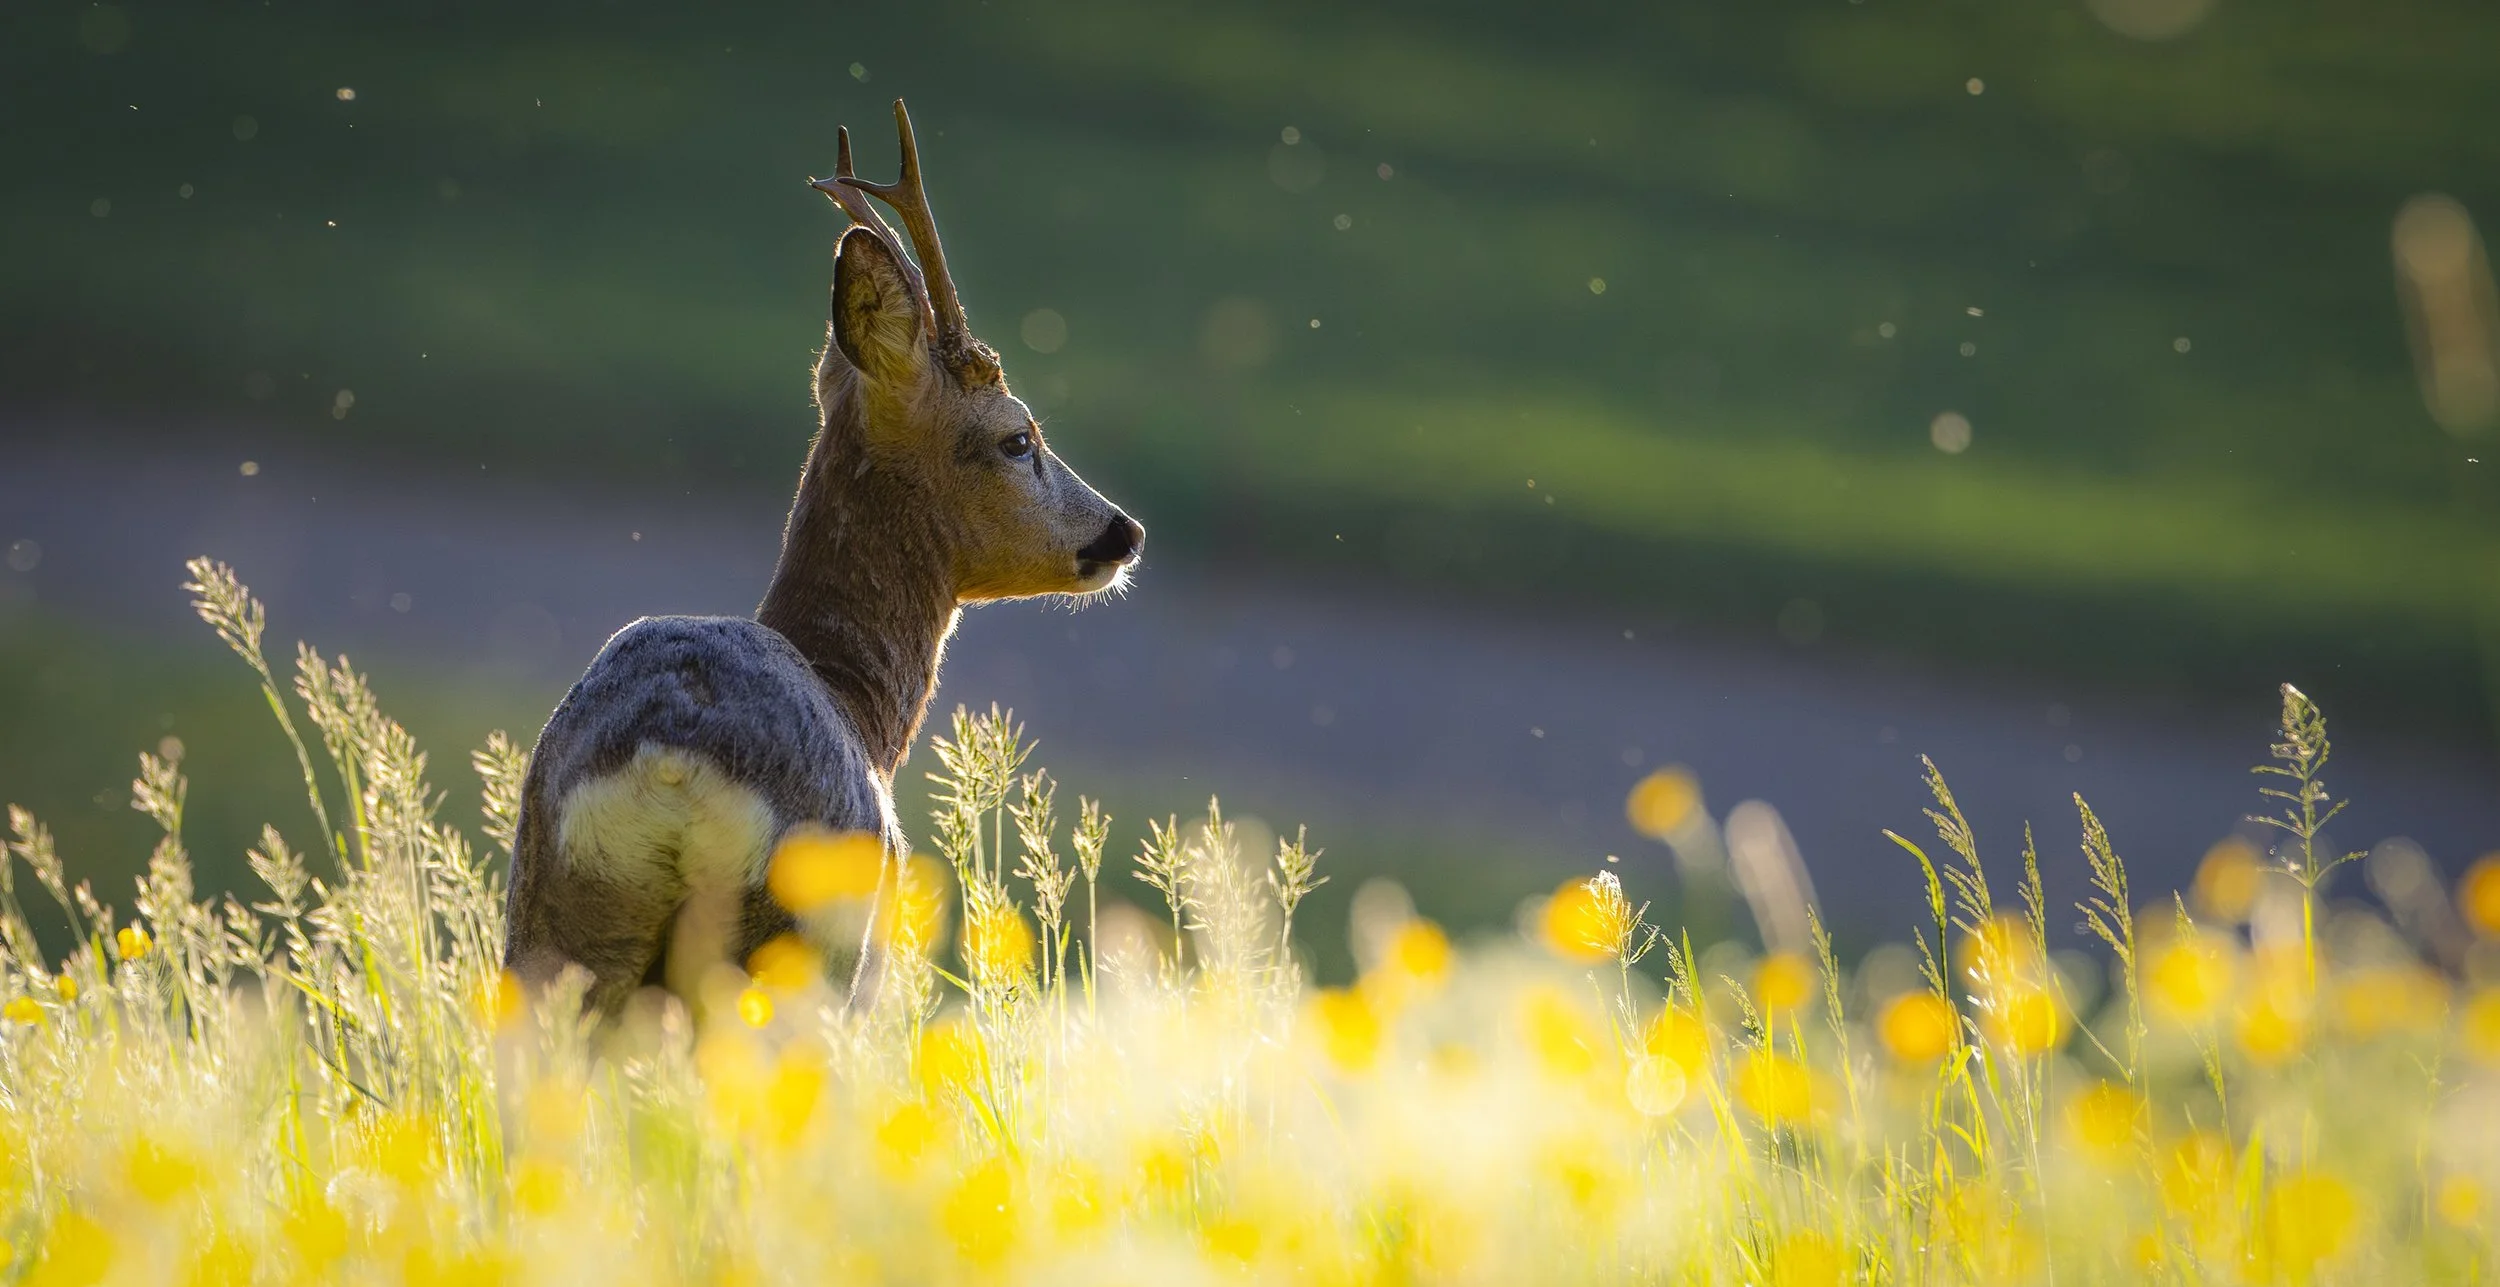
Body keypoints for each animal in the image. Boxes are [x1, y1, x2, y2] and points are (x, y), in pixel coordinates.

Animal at [502, 100, 1145, 1020]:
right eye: (1019, 439)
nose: (1124, 532)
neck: (859, 703)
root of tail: (670, 759)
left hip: (550, 922)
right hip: (803, 949)